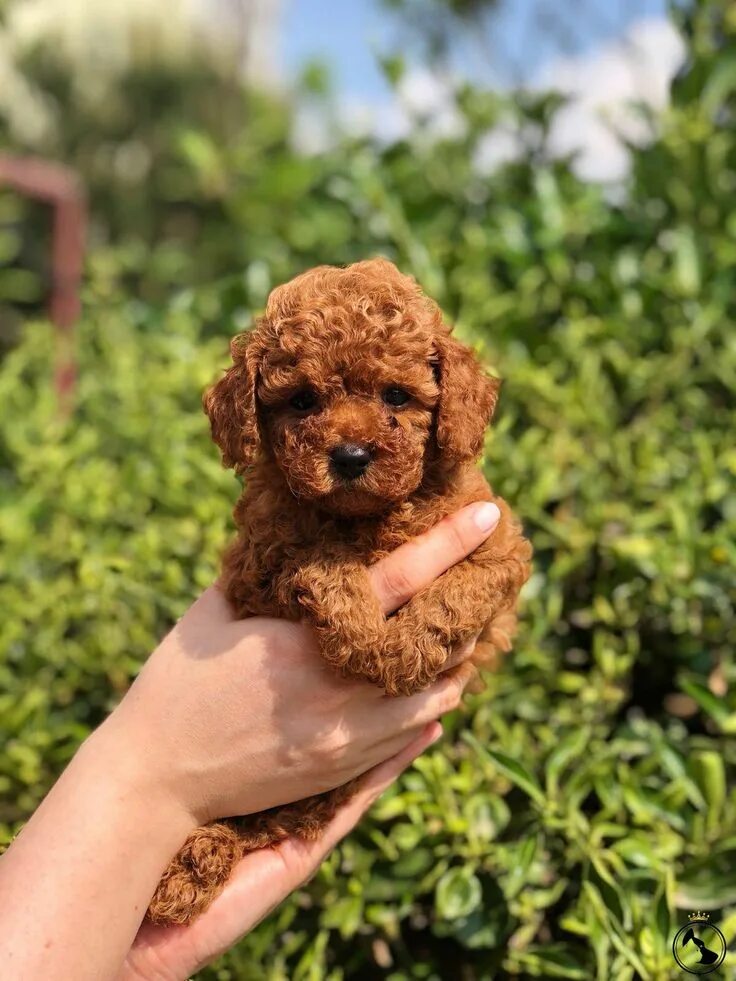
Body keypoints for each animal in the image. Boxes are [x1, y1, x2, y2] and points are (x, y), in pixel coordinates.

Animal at [147, 256, 532, 924]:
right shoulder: (258, 565)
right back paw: (188, 868)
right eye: (302, 401)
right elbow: (320, 560)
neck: (366, 517)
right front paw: (364, 636)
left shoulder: (497, 540)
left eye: (396, 395)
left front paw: (403, 651)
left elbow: (460, 590)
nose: (350, 455)